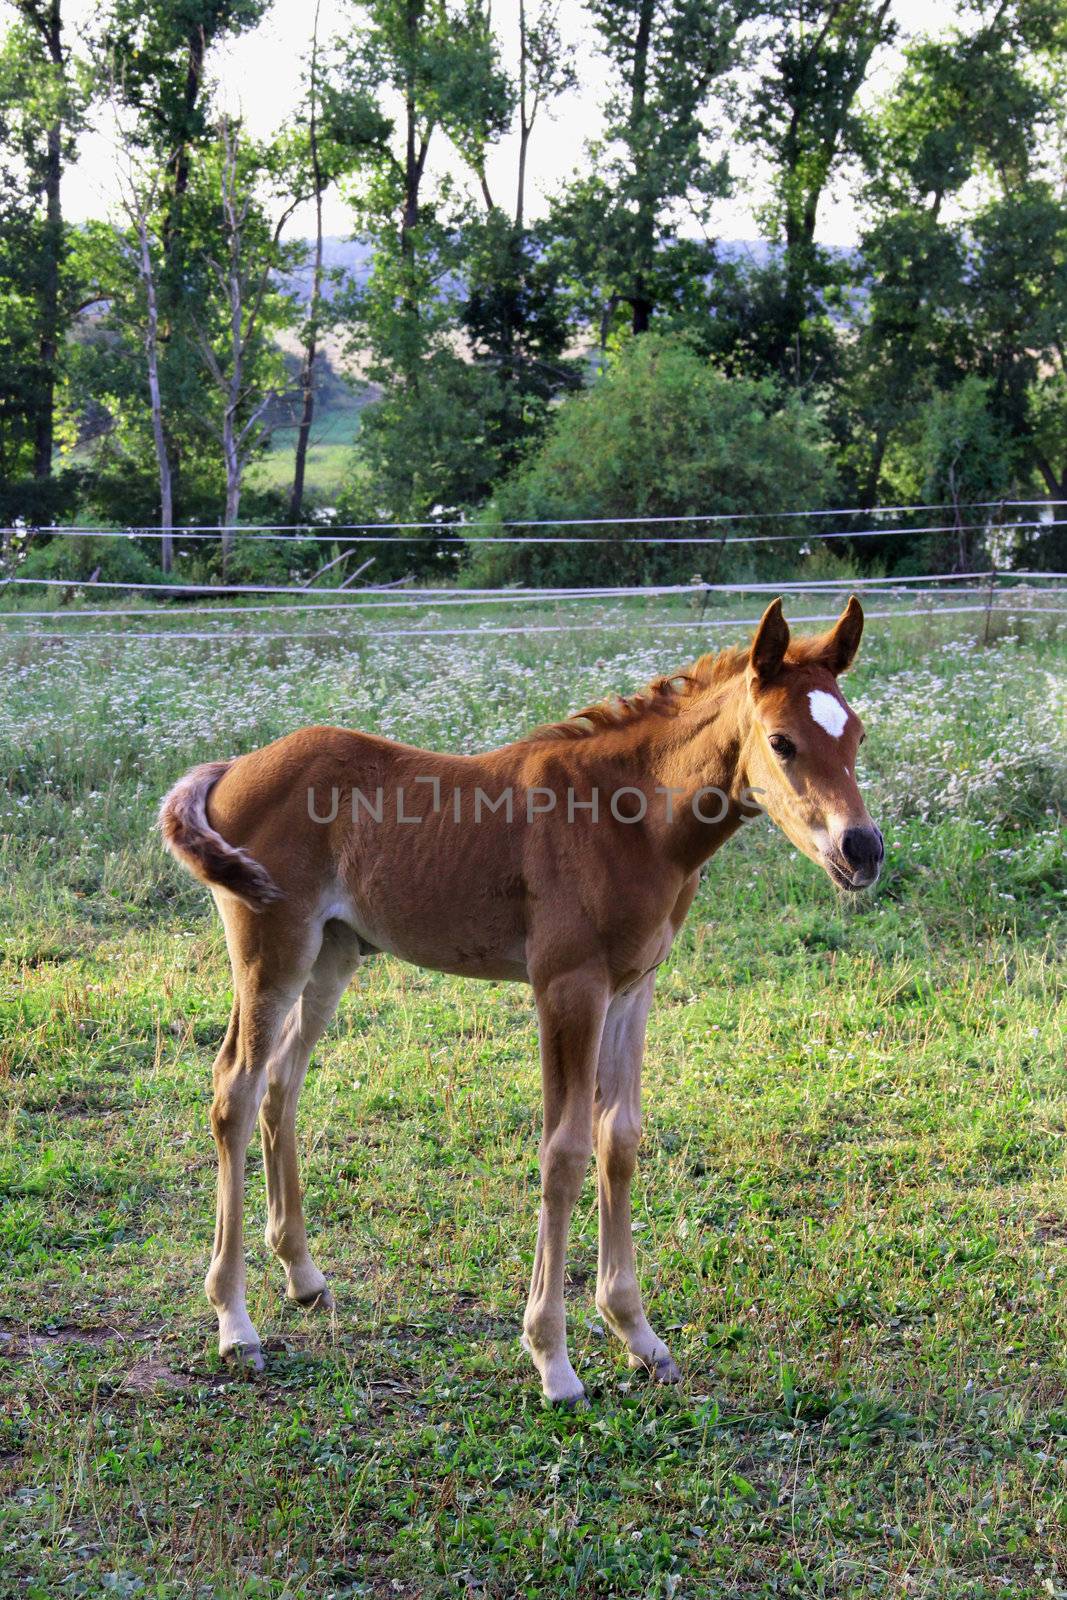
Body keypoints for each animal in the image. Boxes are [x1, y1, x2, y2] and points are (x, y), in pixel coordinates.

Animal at [160, 598, 883, 1401]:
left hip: (334, 954)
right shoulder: (567, 988)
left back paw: (303, 1276)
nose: (862, 850)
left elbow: (619, 1138)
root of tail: (231, 767)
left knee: (282, 1082)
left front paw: (637, 1334)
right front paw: (553, 1360)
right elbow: (562, 1153)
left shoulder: (633, 987)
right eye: (781, 742)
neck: (628, 820)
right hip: (271, 949)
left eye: (855, 734)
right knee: (235, 1087)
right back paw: (235, 1323)